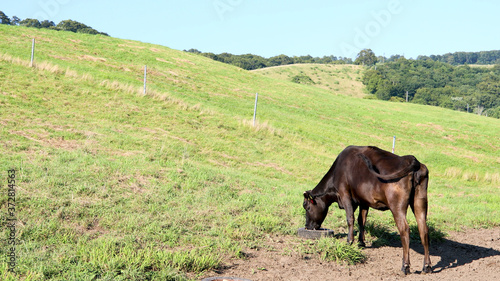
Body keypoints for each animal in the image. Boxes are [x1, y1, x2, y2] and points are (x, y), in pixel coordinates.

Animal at [302, 144, 432, 274]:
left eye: (307, 207)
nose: (307, 226)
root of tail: (411, 159)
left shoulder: (345, 194)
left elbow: (350, 218)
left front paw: (350, 241)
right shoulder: (363, 201)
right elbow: (362, 220)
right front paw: (361, 242)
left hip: (397, 206)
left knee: (404, 229)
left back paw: (405, 266)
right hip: (420, 202)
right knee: (423, 229)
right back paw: (427, 266)